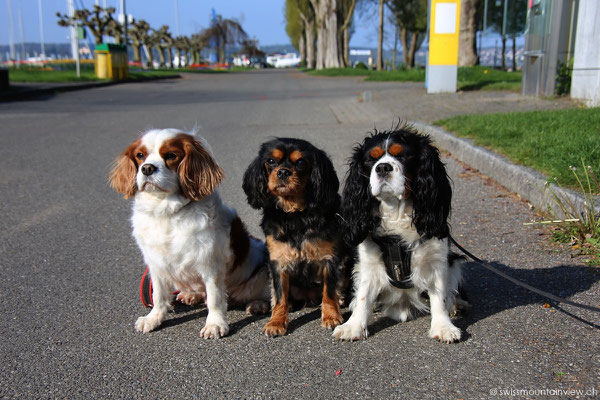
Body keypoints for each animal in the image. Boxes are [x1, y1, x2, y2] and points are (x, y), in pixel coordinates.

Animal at [109, 129, 270, 338]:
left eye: (171, 155)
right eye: (140, 155)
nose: (147, 168)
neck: (167, 212)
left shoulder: (211, 265)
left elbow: (215, 298)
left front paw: (215, 324)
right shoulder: (156, 264)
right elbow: (159, 295)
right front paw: (154, 319)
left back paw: (258, 304)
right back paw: (191, 294)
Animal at [243, 139, 350, 336]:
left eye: (301, 162)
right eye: (271, 161)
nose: (283, 172)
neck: (295, 214)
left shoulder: (330, 259)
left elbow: (329, 291)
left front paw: (331, 316)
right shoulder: (277, 262)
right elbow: (279, 296)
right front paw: (276, 322)